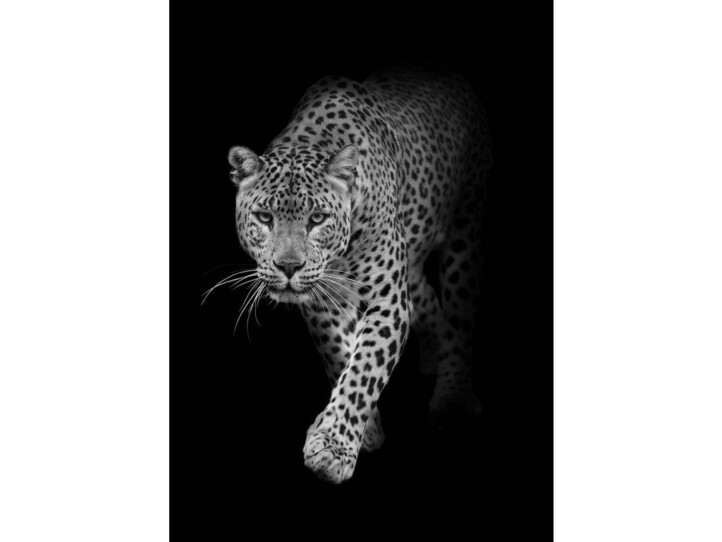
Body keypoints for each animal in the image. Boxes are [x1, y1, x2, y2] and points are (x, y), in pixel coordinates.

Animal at [226, 68, 492, 484]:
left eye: (317, 218)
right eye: (264, 218)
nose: (289, 267)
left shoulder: (387, 299)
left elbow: (365, 366)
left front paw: (332, 448)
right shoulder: (322, 302)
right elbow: (340, 355)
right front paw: (364, 431)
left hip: (465, 225)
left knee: (460, 311)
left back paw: (453, 399)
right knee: (425, 297)